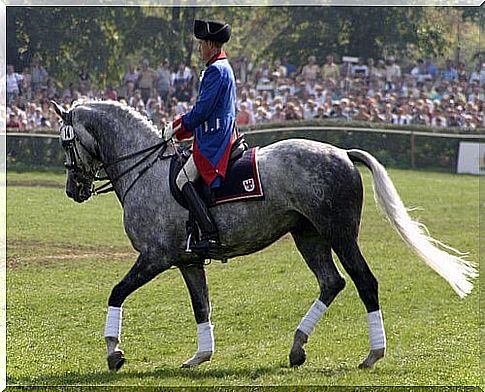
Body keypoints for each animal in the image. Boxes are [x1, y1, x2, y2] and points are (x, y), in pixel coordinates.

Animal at [51, 99, 474, 372]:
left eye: (66, 142)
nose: (73, 190)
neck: (146, 171)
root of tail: (341, 153)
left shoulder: (155, 257)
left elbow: (117, 292)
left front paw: (113, 352)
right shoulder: (187, 262)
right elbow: (201, 306)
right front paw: (200, 357)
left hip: (339, 235)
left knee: (364, 282)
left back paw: (373, 354)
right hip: (308, 237)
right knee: (332, 282)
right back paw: (298, 347)